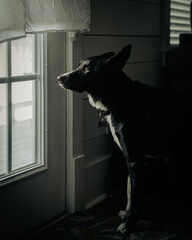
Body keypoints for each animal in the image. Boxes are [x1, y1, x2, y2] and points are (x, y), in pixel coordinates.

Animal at [57, 46, 192, 233]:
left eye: (87, 70)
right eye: (78, 65)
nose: (59, 78)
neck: (120, 97)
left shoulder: (135, 160)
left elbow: (134, 198)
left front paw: (129, 225)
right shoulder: (128, 160)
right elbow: (128, 192)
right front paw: (126, 216)